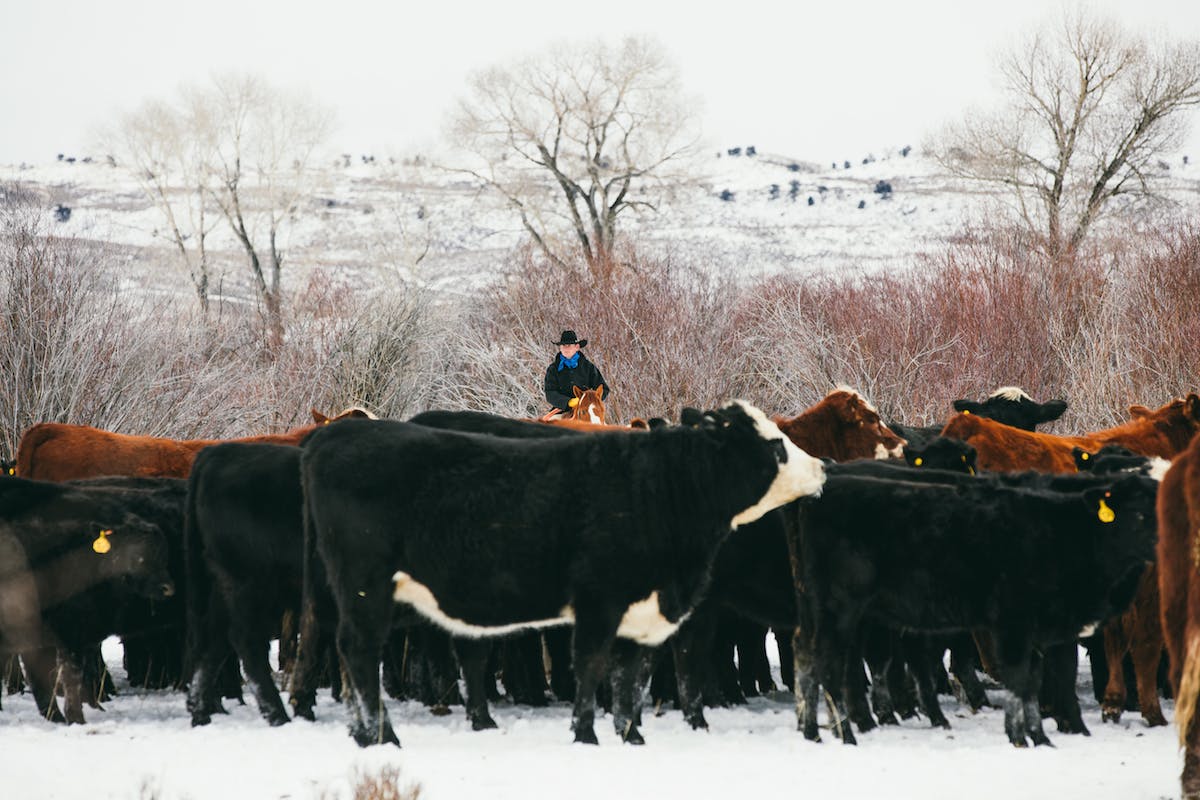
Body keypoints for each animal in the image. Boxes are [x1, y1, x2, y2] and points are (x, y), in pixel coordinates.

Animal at [300, 402, 825, 748]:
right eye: (777, 445)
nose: (822, 467)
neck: (657, 489)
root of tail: (330, 438)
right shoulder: (598, 601)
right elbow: (591, 667)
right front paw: (586, 735)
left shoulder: (639, 611)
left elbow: (630, 677)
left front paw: (631, 737)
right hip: (366, 586)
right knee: (359, 651)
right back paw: (383, 737)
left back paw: (370, 731)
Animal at [782, 472, 1156, 748]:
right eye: (1137, 513)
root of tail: (820, 492)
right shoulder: (1013, 624)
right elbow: (1019, 680)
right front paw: (1019, 738)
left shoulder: (1034, 631)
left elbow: (1032, 682)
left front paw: (1040, 738)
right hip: (839, 610)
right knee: (829, 665)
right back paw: (845, 735)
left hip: (813, 608)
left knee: (805, 655)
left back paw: (811, 731)